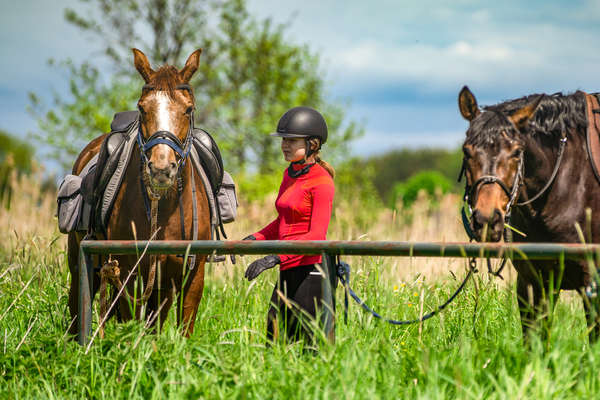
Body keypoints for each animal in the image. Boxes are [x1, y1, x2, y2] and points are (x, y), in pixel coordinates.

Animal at [67, 47, 211, 338]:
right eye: (142, 108)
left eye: (188, 109)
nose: (161, 168)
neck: (163, 211)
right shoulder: (127, 272)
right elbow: (132, 321)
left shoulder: (191, 273)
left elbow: (182, 327)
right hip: (80, 262)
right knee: (78, 306)